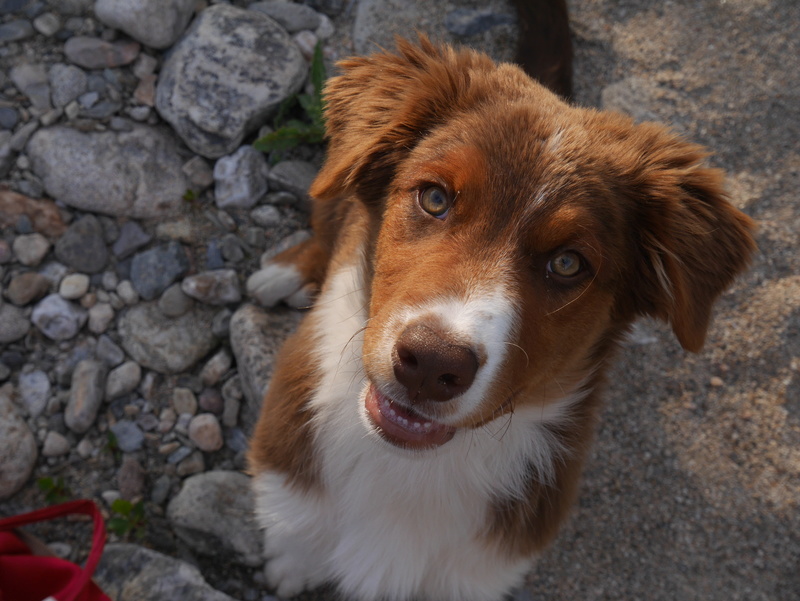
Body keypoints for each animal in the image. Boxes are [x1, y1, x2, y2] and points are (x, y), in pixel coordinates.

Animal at [245, 9, 756, 600]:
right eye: (435, 198)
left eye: (568, 263)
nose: (431, 363)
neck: (409, 466)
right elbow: (298, 533)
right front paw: (291, 565)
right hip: (334, 192)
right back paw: (284, 271)